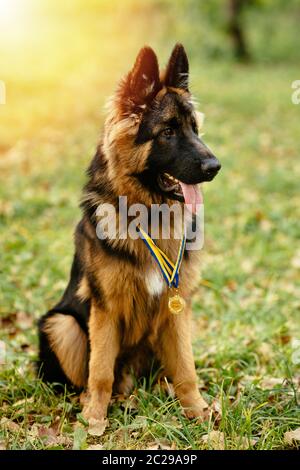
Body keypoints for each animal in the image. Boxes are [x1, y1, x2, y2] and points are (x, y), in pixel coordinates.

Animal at [37, 44, 220, 422]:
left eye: (194, 129)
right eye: (168, 132)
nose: (215, 167)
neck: (149, 215)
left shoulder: (176, 308)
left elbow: (186, 369)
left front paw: (197, 411)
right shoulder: (105, 310)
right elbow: (100, 371)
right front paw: (94, 418)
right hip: (61, 325)